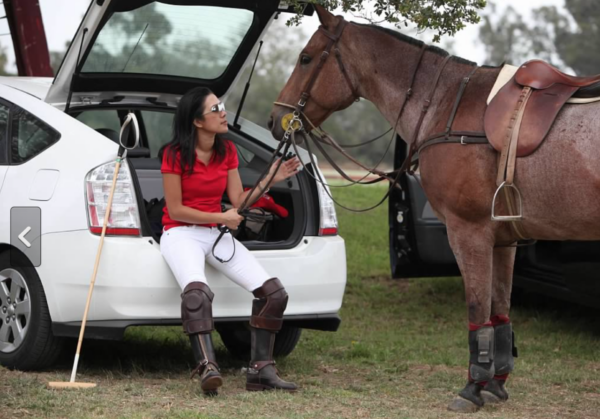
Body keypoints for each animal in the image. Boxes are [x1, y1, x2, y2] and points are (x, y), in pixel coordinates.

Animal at [270, 4, 600, 416]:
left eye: (306, 58)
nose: (275, 118)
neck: (449, 104)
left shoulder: (469, 232)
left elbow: (477, 311)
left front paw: (473, 386)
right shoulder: (503, 241)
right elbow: (500, 310)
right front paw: (496, 383)